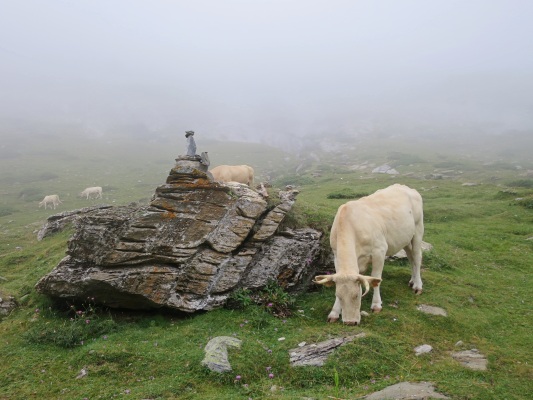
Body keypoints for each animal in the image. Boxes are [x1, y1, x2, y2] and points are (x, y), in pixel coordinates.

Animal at [314, 184, 424, 326]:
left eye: (357, 295)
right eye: (339, 296)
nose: (350, 322)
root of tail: (404, 186)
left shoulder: (379, 251)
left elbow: (376, 279)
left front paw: (376, 305)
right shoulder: (336, 256)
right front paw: (334, 312)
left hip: (418, 230)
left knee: (417, 257)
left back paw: (417, 285)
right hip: (404, 237)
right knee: (411, 258)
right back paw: (412, 280)